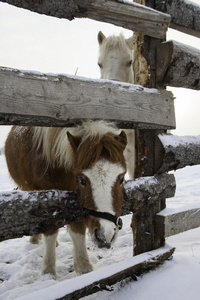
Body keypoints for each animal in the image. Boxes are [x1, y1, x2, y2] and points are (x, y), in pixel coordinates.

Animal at [5, 120, 127, 276]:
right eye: (82, 180)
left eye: (121, 179)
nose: (106, 235)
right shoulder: (46, 201)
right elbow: (50, 232)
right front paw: (48, 270)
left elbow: (77, 229)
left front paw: (83, 266)